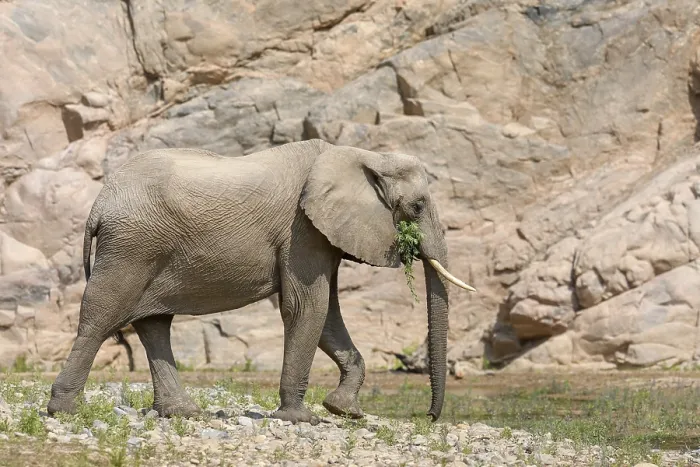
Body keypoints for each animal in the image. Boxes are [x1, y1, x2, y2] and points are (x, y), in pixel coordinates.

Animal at [46, 139, 475, 424]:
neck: (360, 153)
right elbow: (307, 307)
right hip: (132, 246)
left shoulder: (321, 234)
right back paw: (66, 411)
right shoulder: (302, 229)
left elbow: (327, 315)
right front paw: (302, 419)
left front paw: (344, 411)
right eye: (417, 207)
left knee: (153, 324)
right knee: (101, 318)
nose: (429, 417)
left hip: (143, 246)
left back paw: (183, 413)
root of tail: (99, 203)